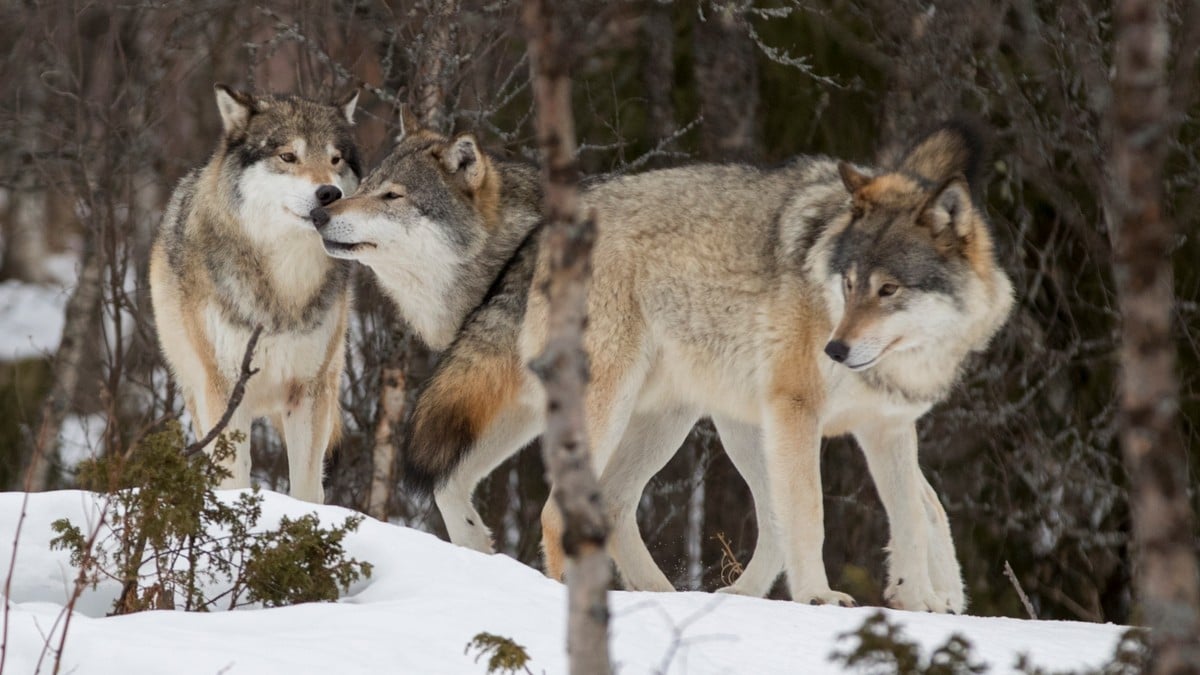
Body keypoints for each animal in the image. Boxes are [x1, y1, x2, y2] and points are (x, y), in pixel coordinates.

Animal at [148, 84, 360, 499]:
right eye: (288, 156)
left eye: (335, 159)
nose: (330, 192)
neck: (283, 285)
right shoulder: (225, 389)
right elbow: (234, 479)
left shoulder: (309, 390)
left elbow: (307, 487)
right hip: (196, 390)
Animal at [312, 118, 1012, 612]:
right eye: (367, 185)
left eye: (391, 195)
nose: (321, 209)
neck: (505, 247)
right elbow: (449, 483)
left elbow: (869, 509)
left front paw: (913, 599)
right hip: (652, 413)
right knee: (602, 508)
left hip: (660, 415)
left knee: (599, 509)